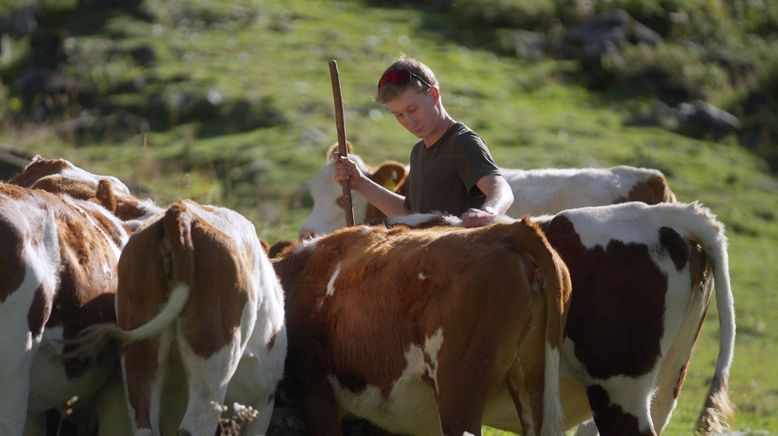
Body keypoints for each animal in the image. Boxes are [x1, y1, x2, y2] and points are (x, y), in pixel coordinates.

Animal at [68, 200, 286, 436]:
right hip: (214, 356)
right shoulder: (262, 403)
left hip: (140, 349)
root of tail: (184, 210)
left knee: (145, 422)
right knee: (195, 426)